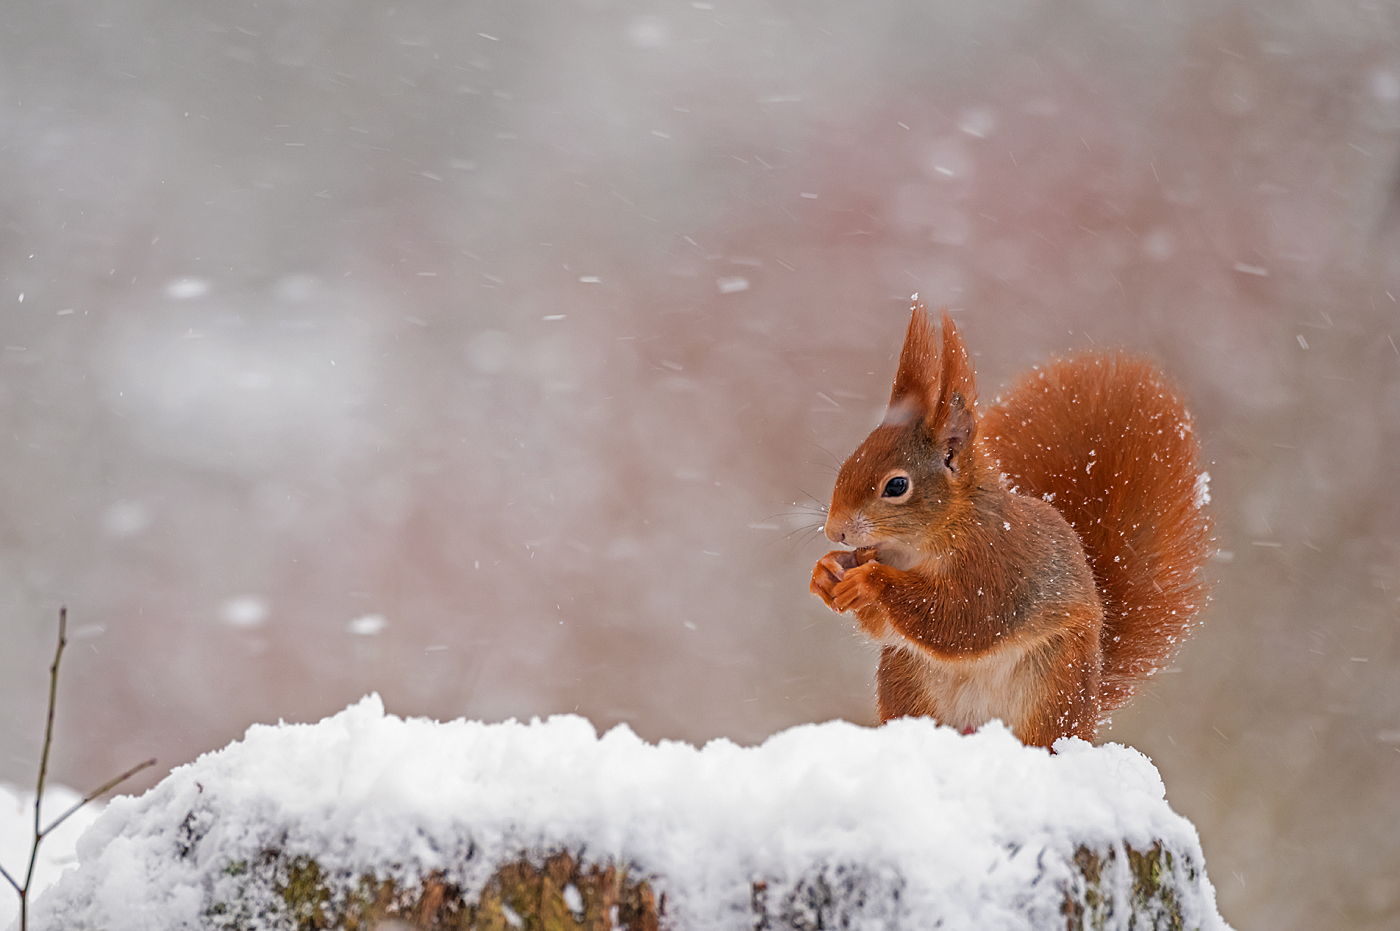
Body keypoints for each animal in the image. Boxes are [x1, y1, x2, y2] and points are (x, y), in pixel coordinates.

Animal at [817, 299, 1209, 750]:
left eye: (896, 485)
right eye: (850, 461)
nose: (834, 531)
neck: (919, 544)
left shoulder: (998, 565)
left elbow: (962, 618)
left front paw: (869, 580)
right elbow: (885, 626)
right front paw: (826, 572)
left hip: (1053, 686)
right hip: (906, 679)